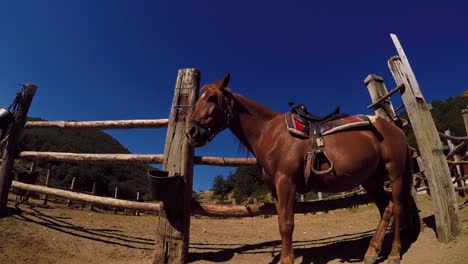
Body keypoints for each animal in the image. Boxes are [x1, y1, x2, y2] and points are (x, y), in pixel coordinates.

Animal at [185, 74, 418, 264]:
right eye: (198, 100)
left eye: (212, 98)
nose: (191, 132)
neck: (271, 133)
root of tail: (395, 129)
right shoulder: (275, 188)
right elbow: (281, 222)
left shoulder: (286, 182)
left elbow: (287, 224)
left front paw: (287, 260)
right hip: (371, 180)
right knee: (386, 208)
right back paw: (371, 252)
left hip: (396, 174)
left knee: (397, 207)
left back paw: (394, 254)